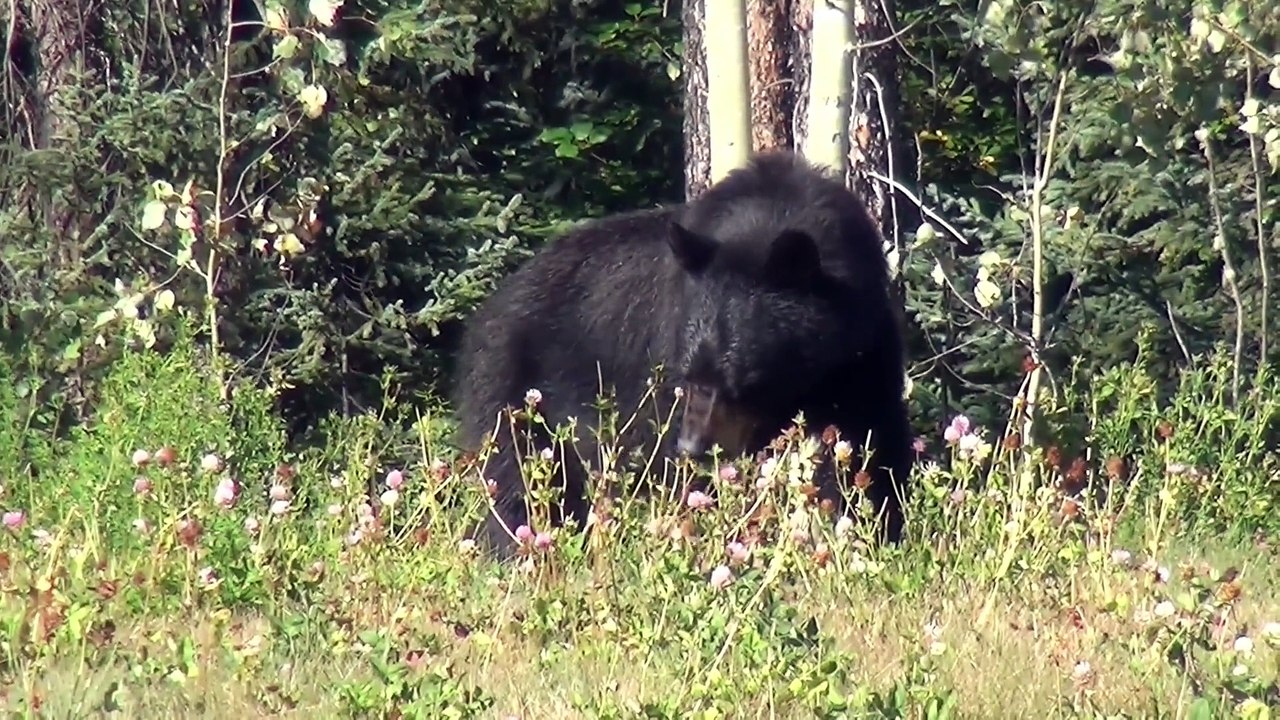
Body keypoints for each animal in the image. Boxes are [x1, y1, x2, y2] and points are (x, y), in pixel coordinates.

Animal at [451, 149, 914, 560]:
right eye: (691, 373)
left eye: (742, 380)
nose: (692, 447)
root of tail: (492, 307)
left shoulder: (859, 351)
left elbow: (867, 436)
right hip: (518, 392)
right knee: (517, 481)